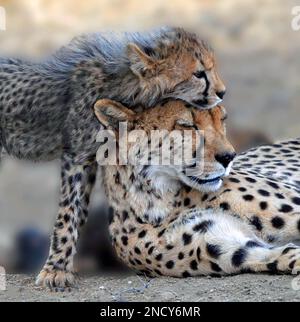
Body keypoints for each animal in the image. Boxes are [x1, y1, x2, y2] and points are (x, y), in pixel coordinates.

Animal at [93, 98, 300, 276]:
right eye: (186, 125)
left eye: (222, 120)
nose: (229, 156)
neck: (160, 202)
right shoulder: (232, 248)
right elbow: (284, 255)